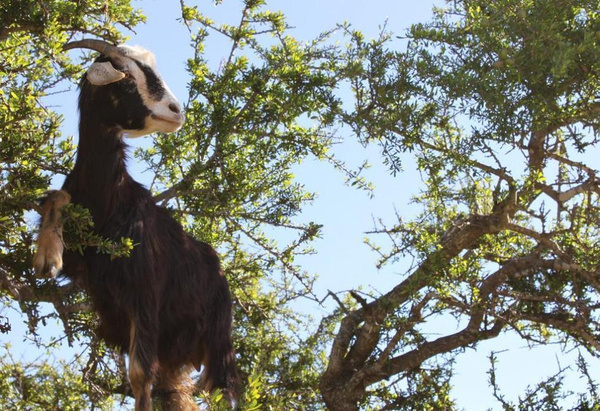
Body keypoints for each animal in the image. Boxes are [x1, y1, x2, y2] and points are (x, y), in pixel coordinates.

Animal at [33, 39, 239, 411]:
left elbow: (140, 376)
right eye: (128, 79)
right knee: (175, 392)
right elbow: (57, 196)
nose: (176, 111)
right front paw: (47, 256)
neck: (108, 199)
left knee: (222, 390)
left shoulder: (144, 293)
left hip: (217, 343)